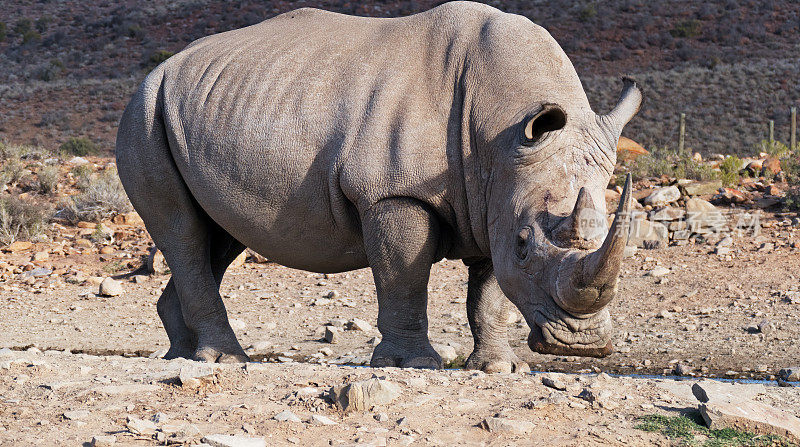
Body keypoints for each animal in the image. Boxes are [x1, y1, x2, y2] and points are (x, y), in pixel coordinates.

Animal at [115, 0, 636, 372]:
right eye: (527, 245)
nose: (583, 346)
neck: (500, 134)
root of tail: (161, 68)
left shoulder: (495, 198)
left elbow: (488, 292)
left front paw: (498, 369)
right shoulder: (394, 193)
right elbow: (404, 276)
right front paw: (413, 363)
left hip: (196, 112)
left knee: (217, 239)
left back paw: (184, 355)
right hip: (143, 114)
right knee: (183, 231)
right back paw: (223, 359)